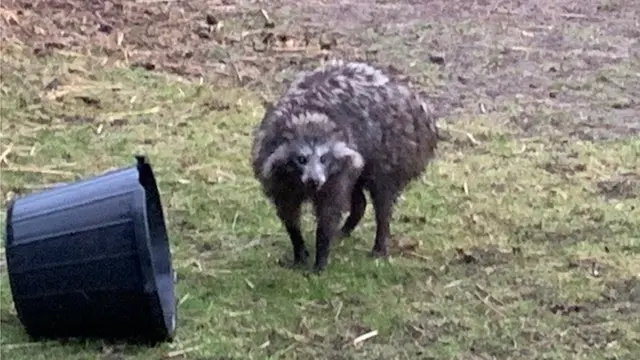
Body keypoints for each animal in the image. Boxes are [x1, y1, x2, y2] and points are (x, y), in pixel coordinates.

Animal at [251, 59, 440, 272]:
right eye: (301, 159)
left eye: (324, 158)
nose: (314, 180)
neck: (310, 116)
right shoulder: (277, 178)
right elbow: (289, 215)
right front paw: (299, 249)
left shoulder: (334, 175)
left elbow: (329, 213)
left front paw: (321, 254)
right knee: (359, 200)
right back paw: (346, 228)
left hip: (392, 154)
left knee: (382, 199)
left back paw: (380, 242)